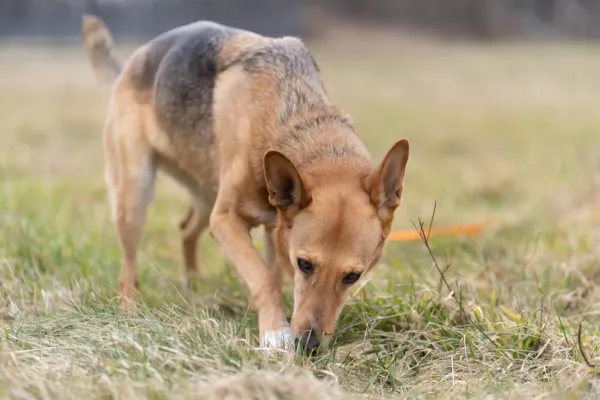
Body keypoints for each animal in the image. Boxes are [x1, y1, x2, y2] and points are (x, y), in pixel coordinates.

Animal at [82, 14, 410, 354]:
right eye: (305, 264)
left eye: (353, 276)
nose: (308, 346)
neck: (293, 116)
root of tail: (128, 66)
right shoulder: (227, 220)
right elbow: (264, 278)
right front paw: (275, 333)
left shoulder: (272, 230)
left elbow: (273, 273)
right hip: (137, 194)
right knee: (128, 268)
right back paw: (129, 312)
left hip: (206, 194)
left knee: (186, 229)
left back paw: (197, 286)